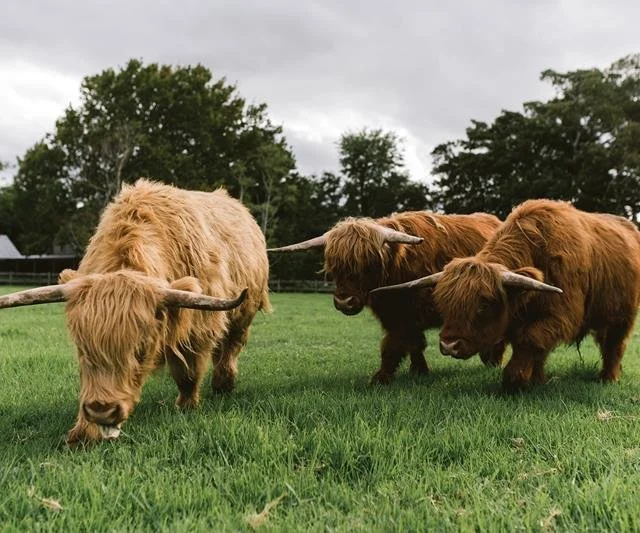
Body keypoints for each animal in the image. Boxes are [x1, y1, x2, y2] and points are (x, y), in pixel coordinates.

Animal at [0, 179, 268, 444]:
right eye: (82, 349)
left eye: (140, 350)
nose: (102, 410)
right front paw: (84, 432)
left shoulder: (198, 327)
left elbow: (188, 372)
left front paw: (187, 405)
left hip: (244, 313)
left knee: (231, 345)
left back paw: (224, 384)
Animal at [268, 211, 502, 382]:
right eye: (333, 266)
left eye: (369, 264)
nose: (344, 302)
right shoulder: (394, 315)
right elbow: (413, 344)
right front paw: (418, 370)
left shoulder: (407, 315)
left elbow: (394, 345)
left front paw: (381, 378)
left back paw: (492, 361)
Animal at [372, 200, 640, 390]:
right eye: (444, 305)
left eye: (484, 305)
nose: (449, 344)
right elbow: (535, 347)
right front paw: (537, 380)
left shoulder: (562, 315)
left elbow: (530, 340)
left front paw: (515, 380)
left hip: (623, 317)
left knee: (614, 345)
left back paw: (608, 378)